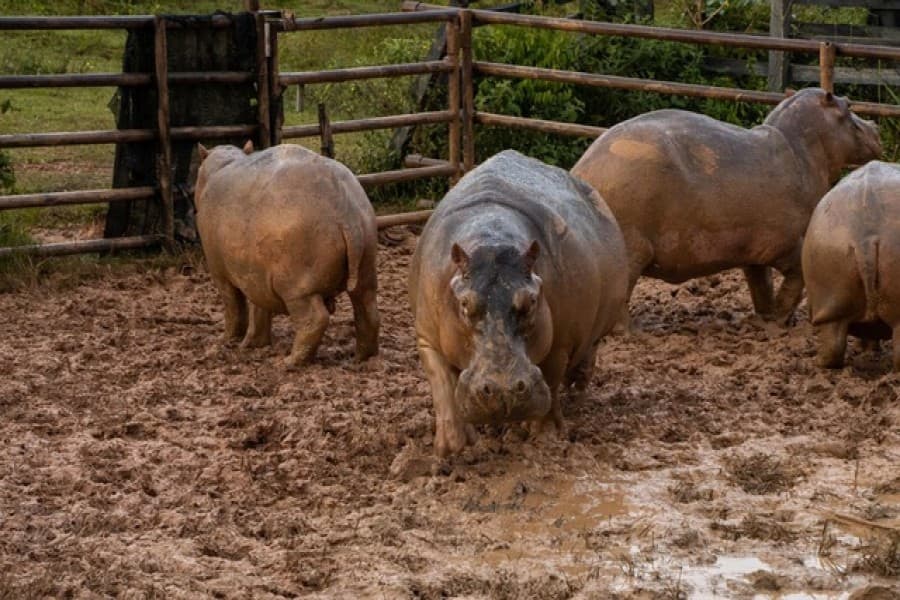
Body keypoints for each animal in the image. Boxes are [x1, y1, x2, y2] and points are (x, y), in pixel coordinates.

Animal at [195, 142, 379, 366]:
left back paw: (287, 362)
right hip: (365, 265)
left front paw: (227, 341)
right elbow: (258, 310)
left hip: (296, 286)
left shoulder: (220, 273)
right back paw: (360, 359)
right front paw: (252, 344)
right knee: (368, 310)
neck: (220, 165)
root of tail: (345, 211)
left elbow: (234, 307)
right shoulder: (255, 275)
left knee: (315, 319)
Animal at [409, 150, 628, 457]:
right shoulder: (427, 336)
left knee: (587, 352)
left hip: (596, 325)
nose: (504, 391)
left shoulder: (560, 342)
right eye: (464, 304)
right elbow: (443, 386)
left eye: (532, 299)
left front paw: (545, 437)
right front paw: (453, 448)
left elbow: (551, 379)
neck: (491, 241)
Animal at [571, 88, 882, 325]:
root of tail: (581, 171)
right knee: (621, 297)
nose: (876, 127)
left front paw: (765, 319)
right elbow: (797, 276)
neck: (801, 149)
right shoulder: (786, 242)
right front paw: (781, 320)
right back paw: (630, 331)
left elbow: (761, 284)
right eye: (848, 105)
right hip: (631, 248)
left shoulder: (754, 251)